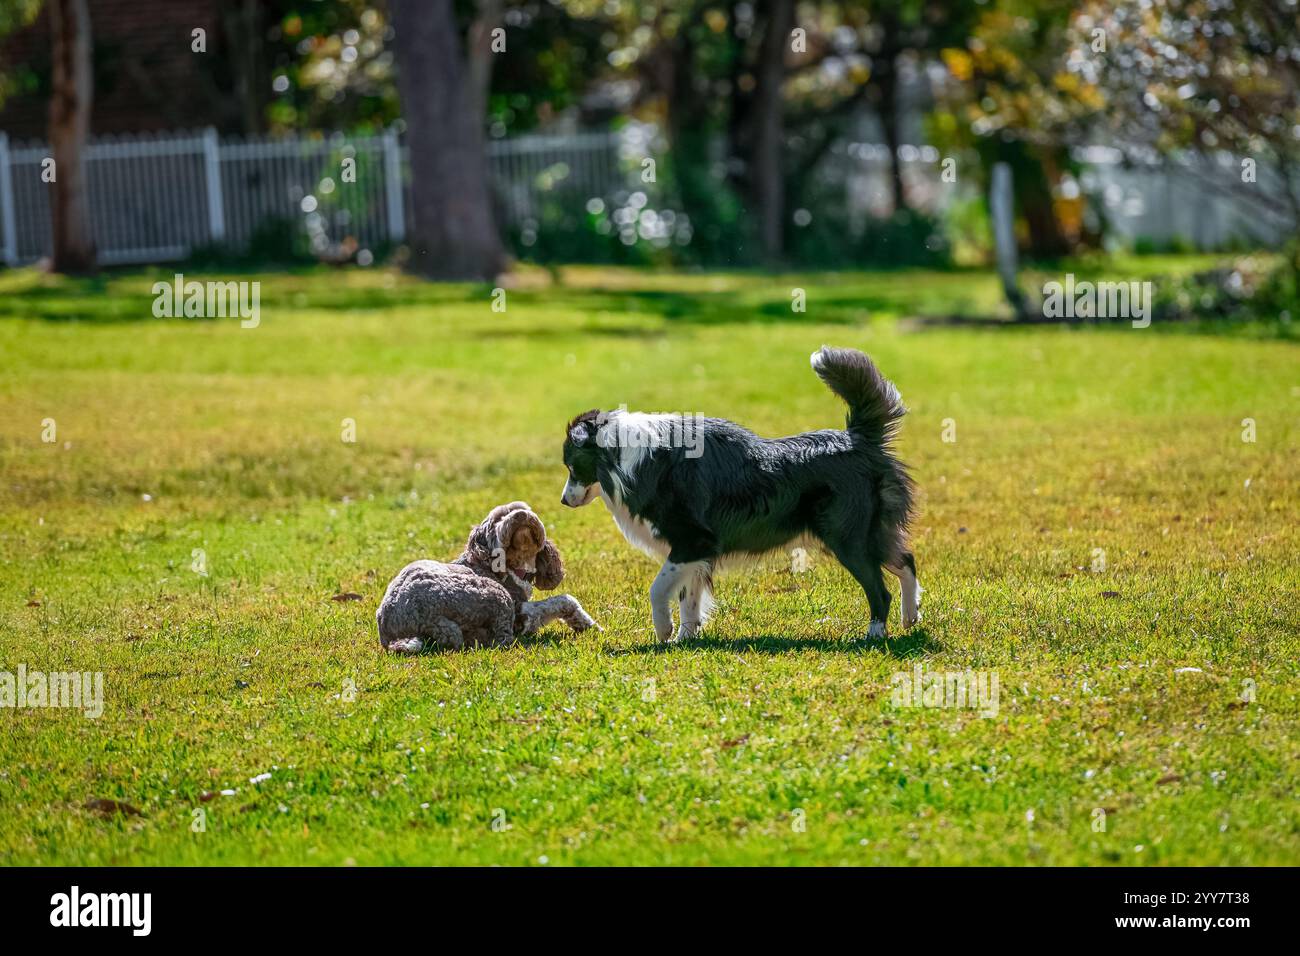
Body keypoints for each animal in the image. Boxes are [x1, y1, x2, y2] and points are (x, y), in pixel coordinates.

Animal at [377, 502, 598, 650]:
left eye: (523, 508)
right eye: (498, 518)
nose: (520, 515)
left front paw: (584, 624)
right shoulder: (518, 606)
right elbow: (564, 600)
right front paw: (589, 624)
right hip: (494, 594)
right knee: (500, 640)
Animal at [564, 345, 920, 642]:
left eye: (570, 465)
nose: (563, 501)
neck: (626, 455)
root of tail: (858, 438)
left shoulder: (692, 541)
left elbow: (658, 589)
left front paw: (664, 631)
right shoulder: (698, 552)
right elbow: (689, 599)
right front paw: (685, 640)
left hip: (847, 538)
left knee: (880, 589)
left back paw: (875, 634)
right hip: (868, 532)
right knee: (906, 560)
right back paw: (910, 618)